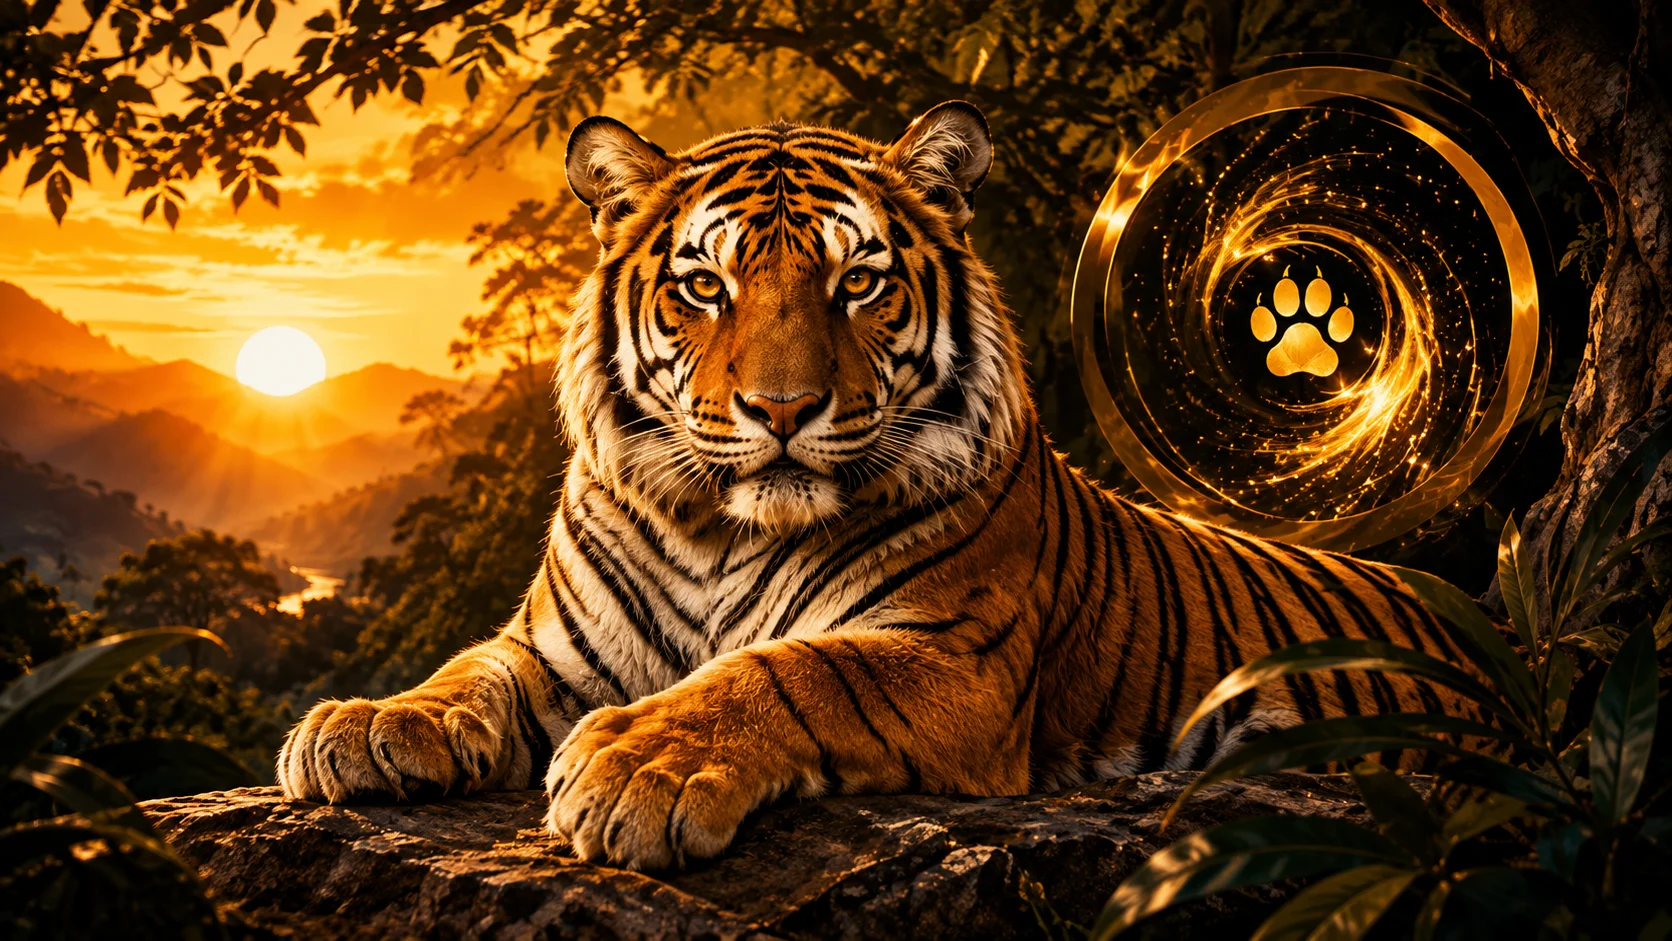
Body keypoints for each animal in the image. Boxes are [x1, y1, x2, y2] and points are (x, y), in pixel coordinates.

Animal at [276, 101, 1474, 870]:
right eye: (704, 287)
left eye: (857, 282)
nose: (782, 409)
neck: (720, 532)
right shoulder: (560, 648)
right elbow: (470, 667)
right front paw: (367, 723)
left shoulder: (952, 654)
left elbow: (788, 670)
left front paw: (634, 765)